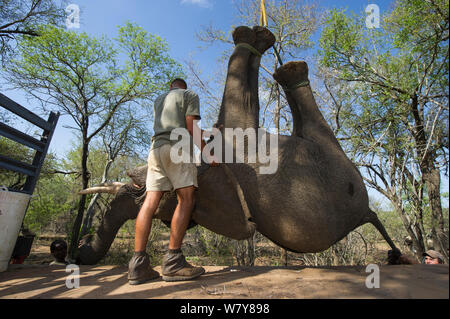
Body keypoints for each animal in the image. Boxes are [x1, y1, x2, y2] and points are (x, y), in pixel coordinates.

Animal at [78, 25, 400, 264]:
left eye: (137, 190)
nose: (76, 250)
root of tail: (364, 213)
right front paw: (254, 39)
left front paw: (255, 37)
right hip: (335, 159)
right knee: (315, 124)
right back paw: (289, 69)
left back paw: (286, 66)